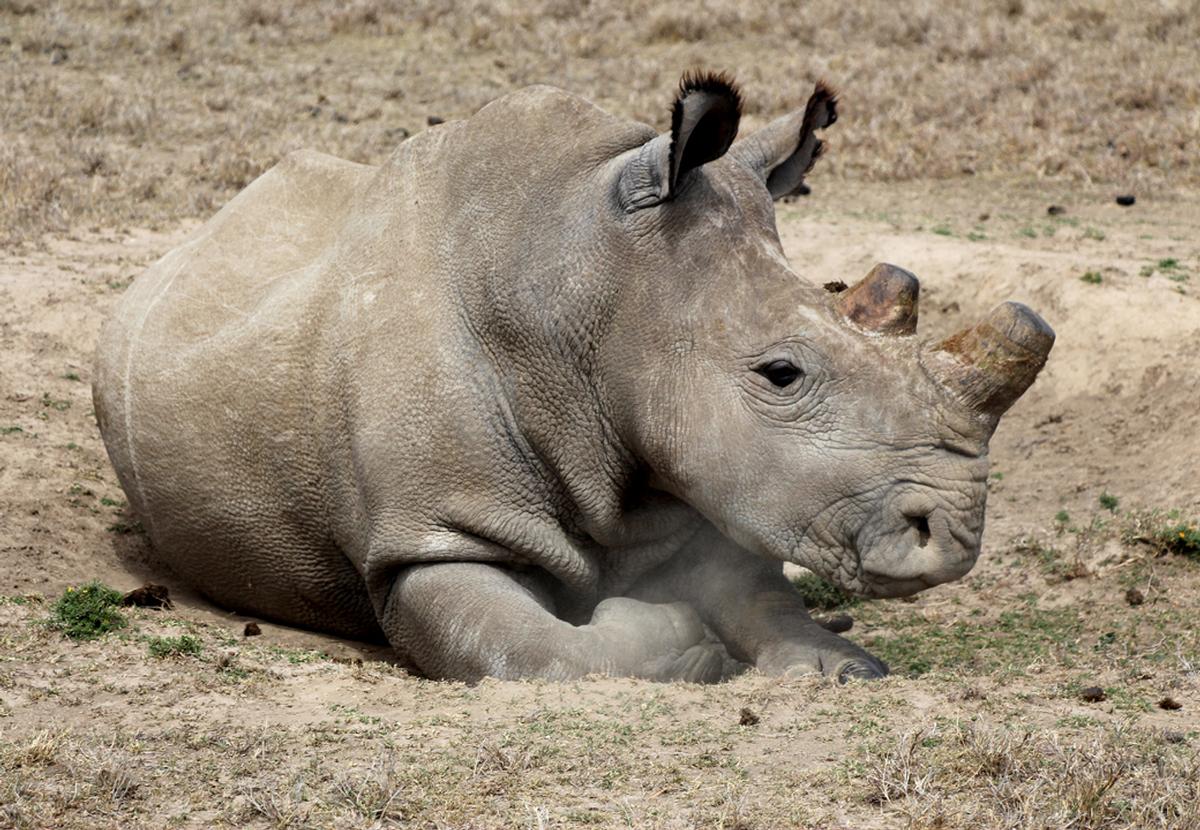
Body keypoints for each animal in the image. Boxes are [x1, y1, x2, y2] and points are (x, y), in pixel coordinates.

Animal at [92, 71, 1054, 683]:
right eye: (781, 374)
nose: (955, 536)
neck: (583, 286)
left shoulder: (708, 481)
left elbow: (761, 595)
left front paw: (843, 665)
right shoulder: (431, 534)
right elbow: (535, 648)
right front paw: (680, 639)